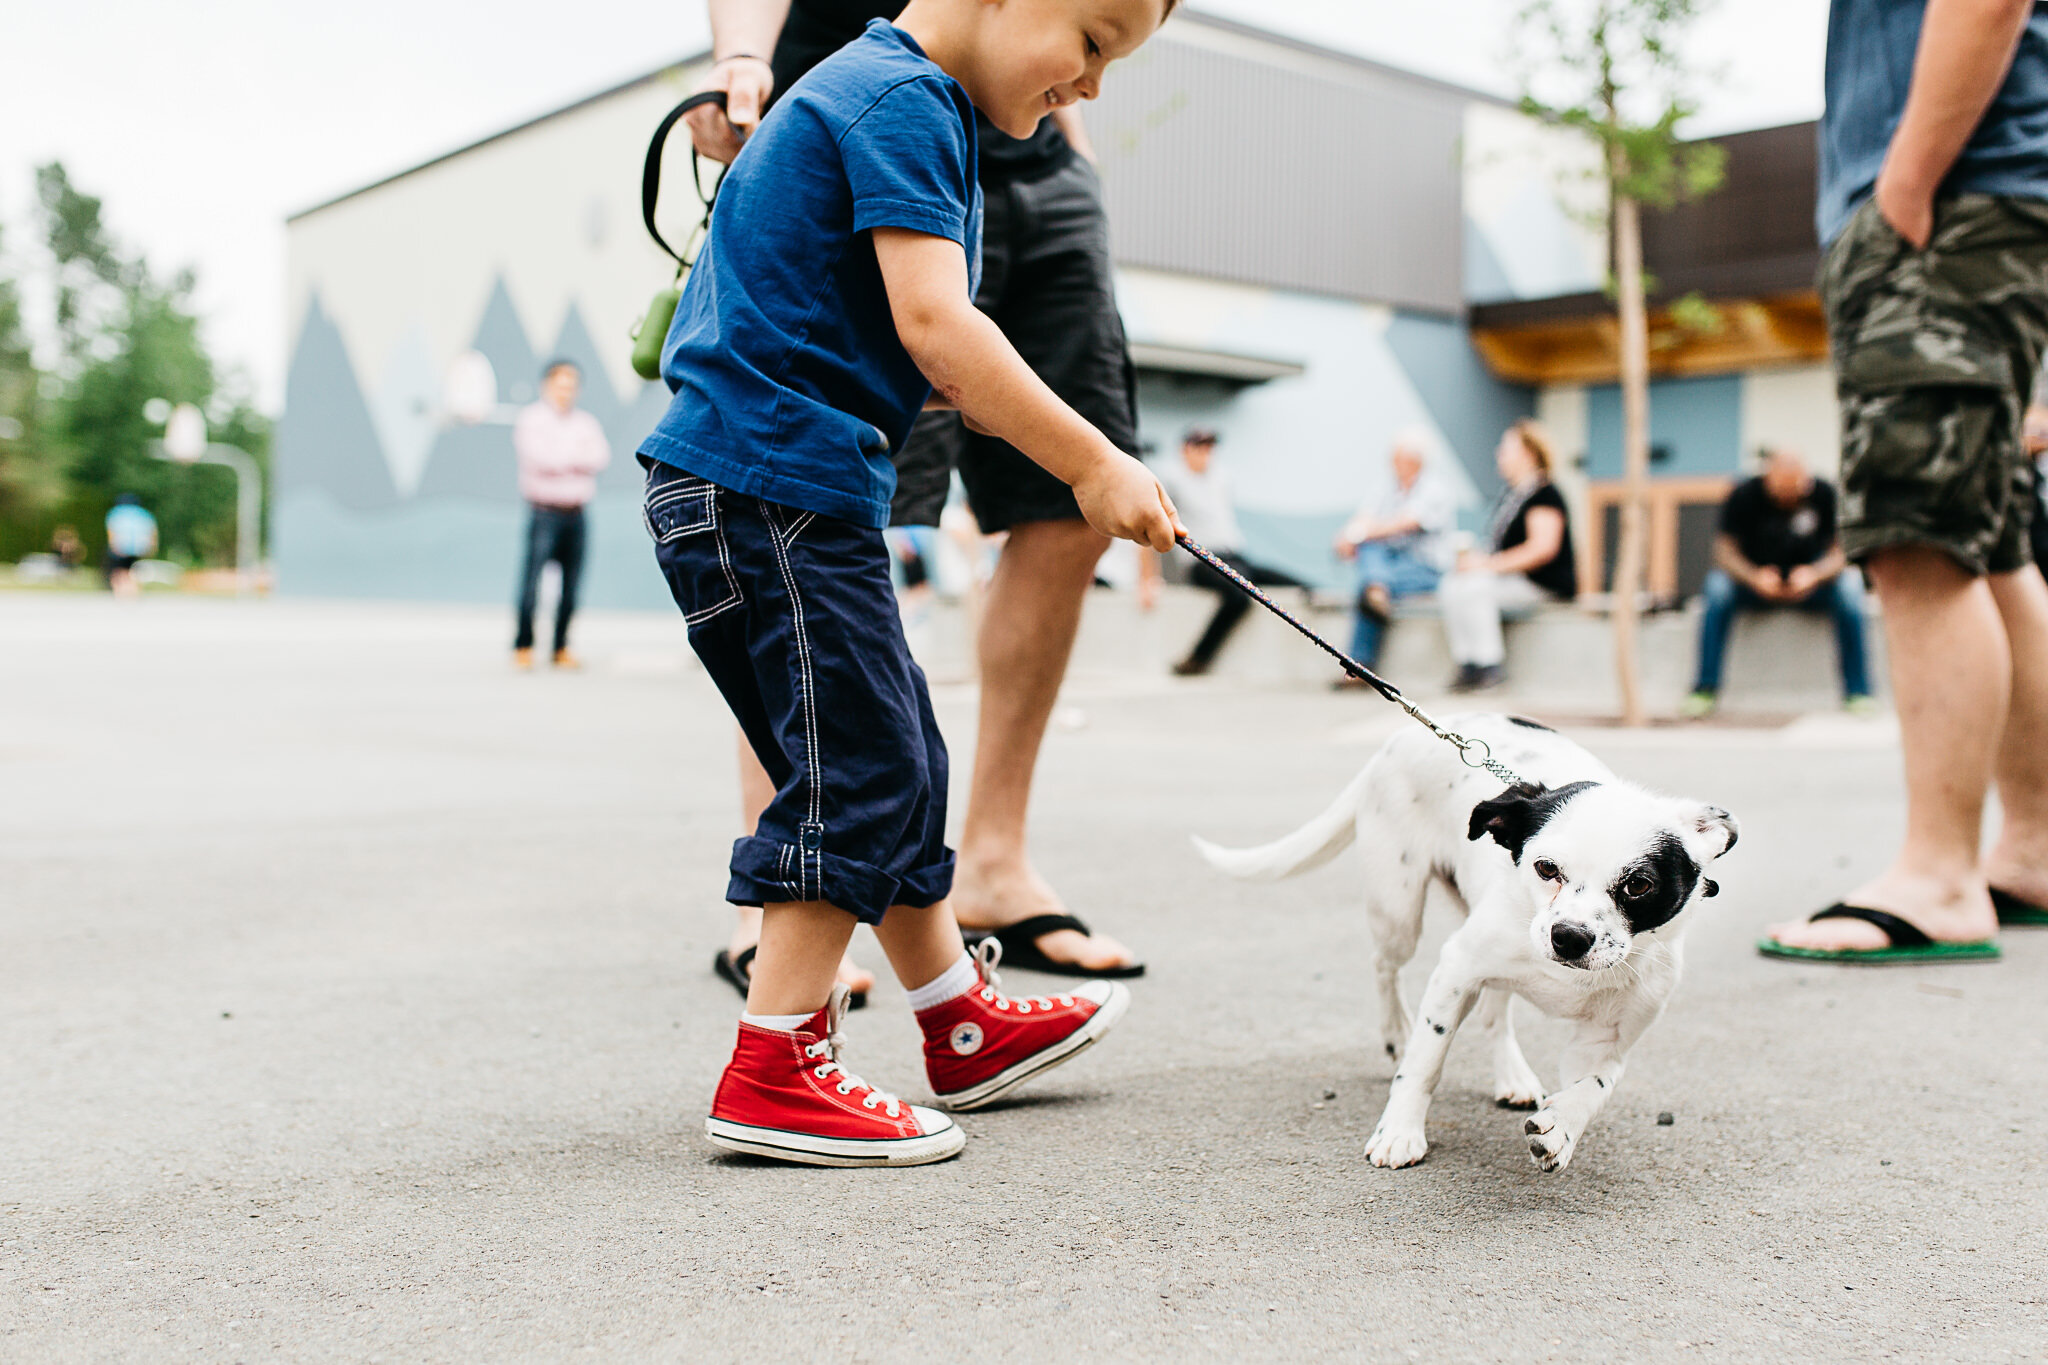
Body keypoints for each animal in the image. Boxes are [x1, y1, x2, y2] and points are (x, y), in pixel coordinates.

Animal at [1196, 716, 1736, 1178]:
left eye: (1639, 884)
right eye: (1546, 868)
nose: (1568, 937)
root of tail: (1403, 736)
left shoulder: (1608, 1038)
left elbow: (1594, 1088)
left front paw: (1562, 1128)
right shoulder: (1456, 970)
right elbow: (1424, 1063)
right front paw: (1400, 1131)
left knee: (1495, 1012)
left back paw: (1512, 1076)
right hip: (1398, 911)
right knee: (1383, 965)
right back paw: (1395, 1031)